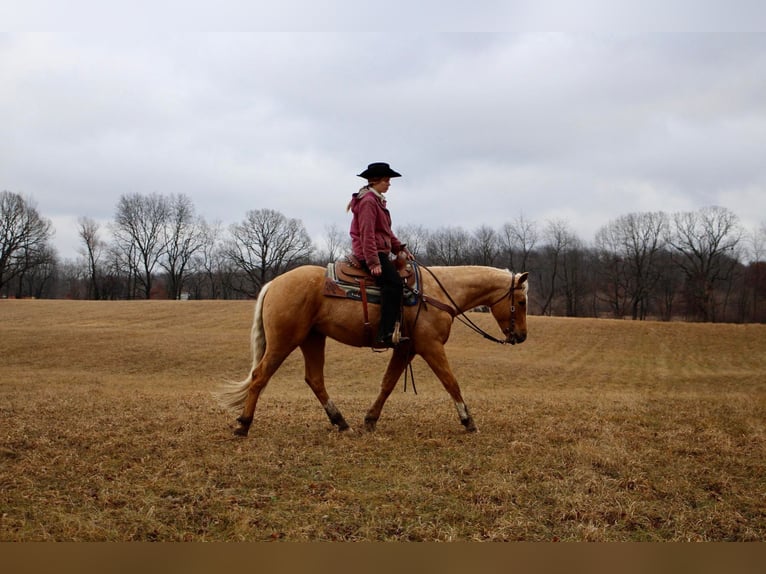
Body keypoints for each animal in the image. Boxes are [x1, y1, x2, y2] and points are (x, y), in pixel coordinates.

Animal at [216, 264, 528, 438]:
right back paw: (243, 425)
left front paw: (370, 420)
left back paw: (341, 423)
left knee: (314, 379)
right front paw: (468, 421)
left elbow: (388, 383)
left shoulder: (407, 348)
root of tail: (274, 283)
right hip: (284, 341)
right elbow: (451, 382)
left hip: (313, 339)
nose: (521, 336)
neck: (436, 294)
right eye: (522, 301)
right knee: (260, 377)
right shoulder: (430, 346)